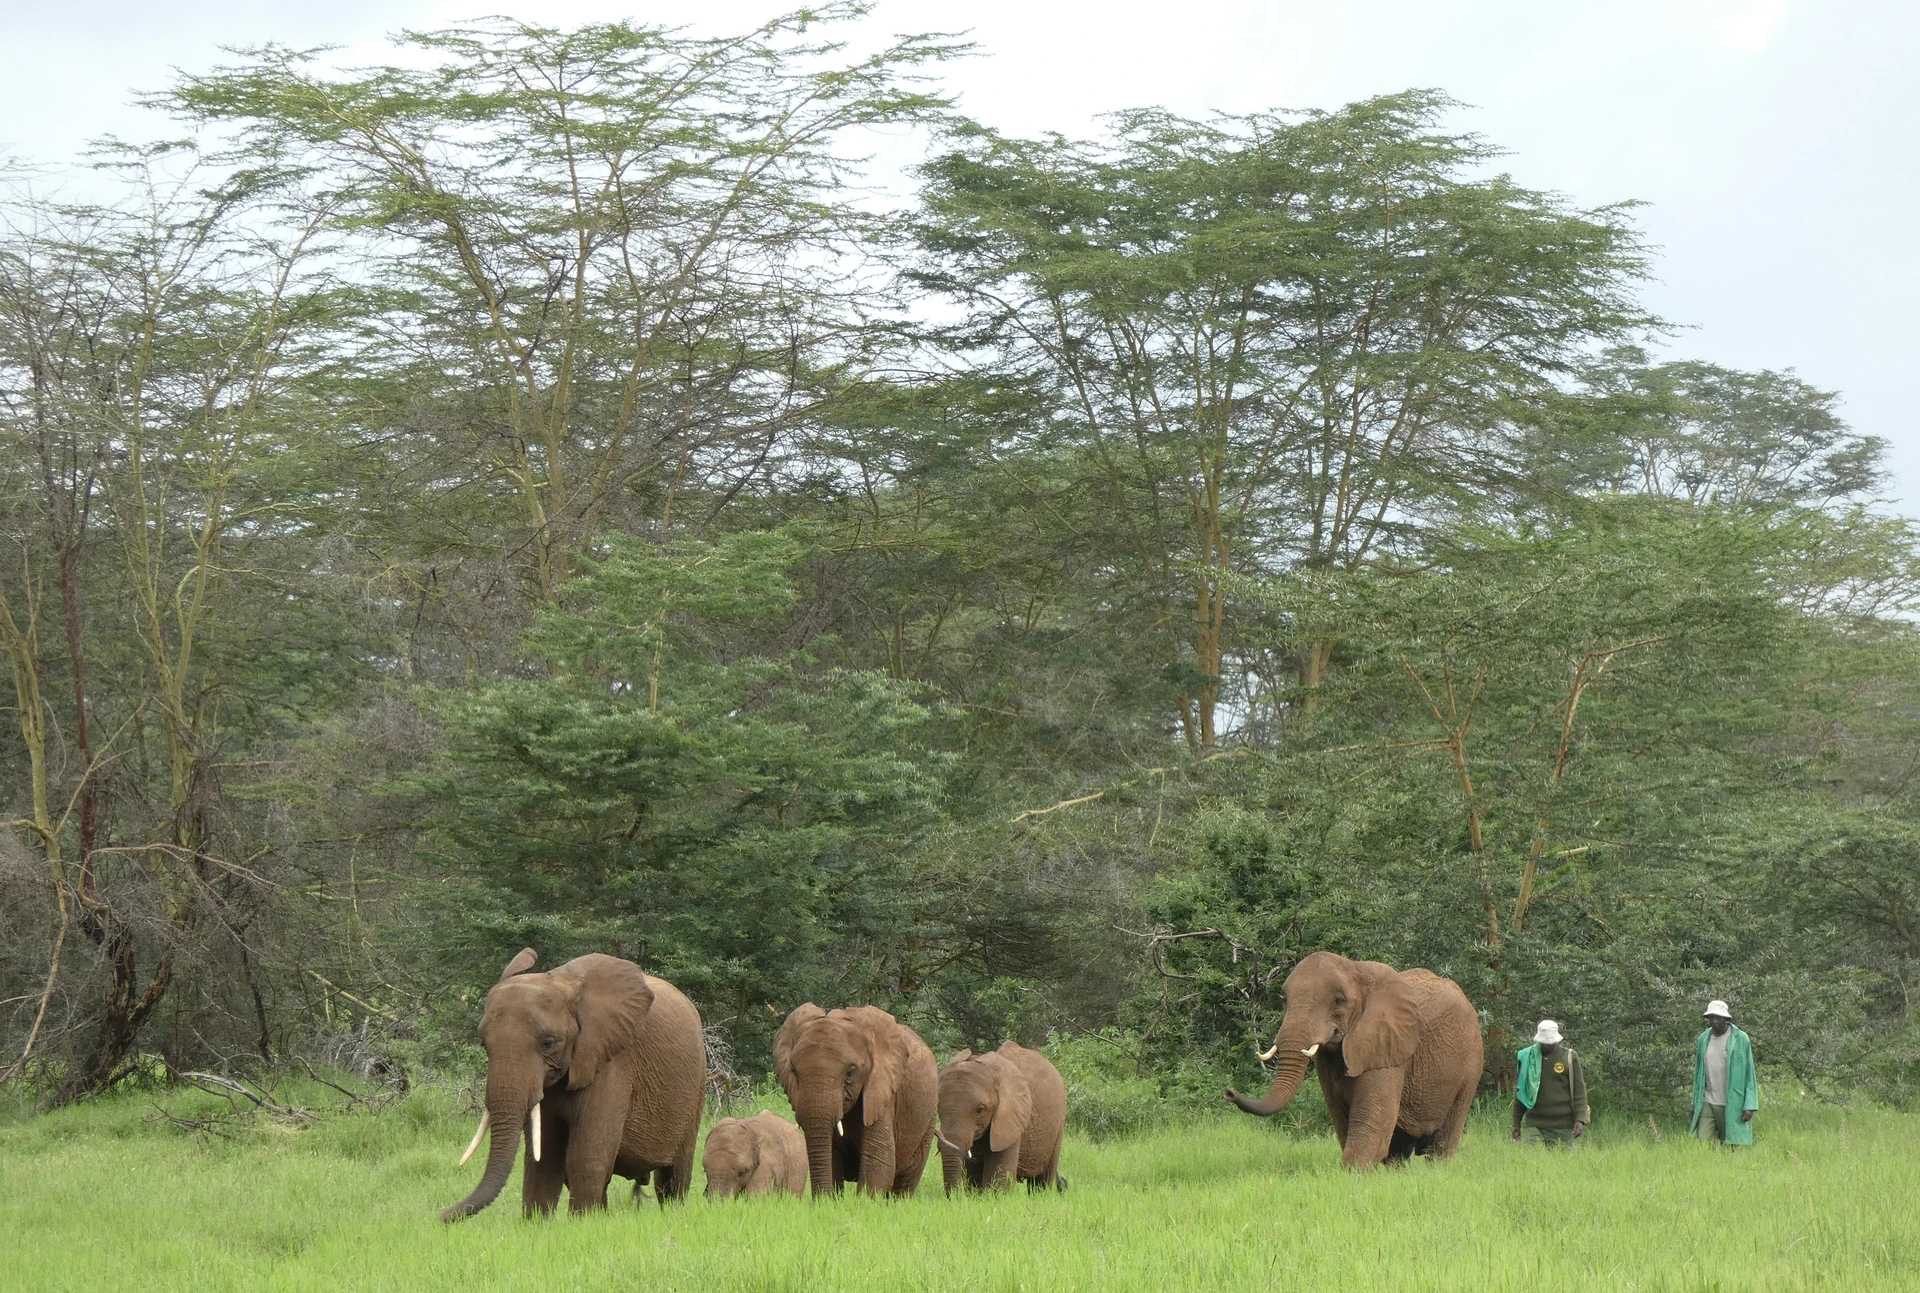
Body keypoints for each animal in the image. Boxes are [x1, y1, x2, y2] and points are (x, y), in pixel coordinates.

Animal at [440, 949, 705, 1221]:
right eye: (484, 1044)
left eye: (548, 1044)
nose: (441, 1218)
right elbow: (544, 1155)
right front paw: (537, 1223)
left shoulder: (610, 1061)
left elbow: (586, 1156)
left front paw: (582, 1222)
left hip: (696, 1085)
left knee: (674, 1175)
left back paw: (673, 1213)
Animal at [773, 1003, 939, 1198]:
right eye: (793, 1071)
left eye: (851, 1072)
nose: (819, 1200)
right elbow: (831, 1159)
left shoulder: (882, 1093)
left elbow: (879, 1163)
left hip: (928, 1118)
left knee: (905, 1183)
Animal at [935, 1041, 1067, 1193]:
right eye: (938, 1108)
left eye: (980, 1110)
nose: (955, 1195)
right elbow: (975, 1178)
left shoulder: (1011, 1119)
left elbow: (997, 1182)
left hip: (1058, 1125)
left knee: (1042, 1181)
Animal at [1224, 951, 1483, 1169]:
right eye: (1284, 1000)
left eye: (1339, 1001)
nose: (1229, 1092)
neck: (1356, 970)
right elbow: (1342, 1119)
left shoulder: (1386, 1047)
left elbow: (1371, 1123)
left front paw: (1349, 1175)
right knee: (1399, 1149)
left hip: (1471, 1065)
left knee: (1442, 1142)